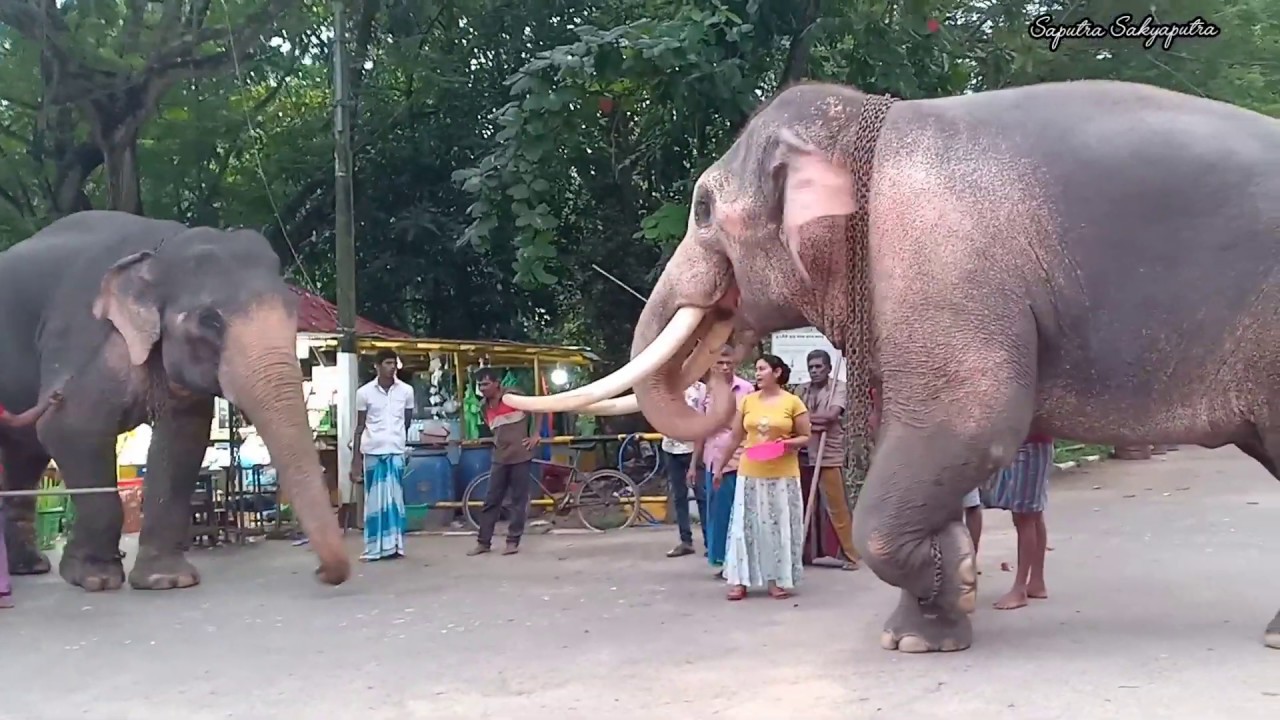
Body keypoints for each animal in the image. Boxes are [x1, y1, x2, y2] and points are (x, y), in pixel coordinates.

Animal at [0, 210, 350, 592]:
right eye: (209, 320)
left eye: (292, 309)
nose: (319, 572)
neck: (160, 250)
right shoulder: (84, 337)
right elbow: (68, 428)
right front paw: (94, 579)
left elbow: (182, 438)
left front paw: (166, 580)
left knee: (24, 457)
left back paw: (29, 566)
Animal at [502, 79, 1280, 653]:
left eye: (700, 208)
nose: (726, 362)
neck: (863, 122)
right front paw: (926, 624)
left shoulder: (940, 266)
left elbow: (971, 422)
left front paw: (952, 587)